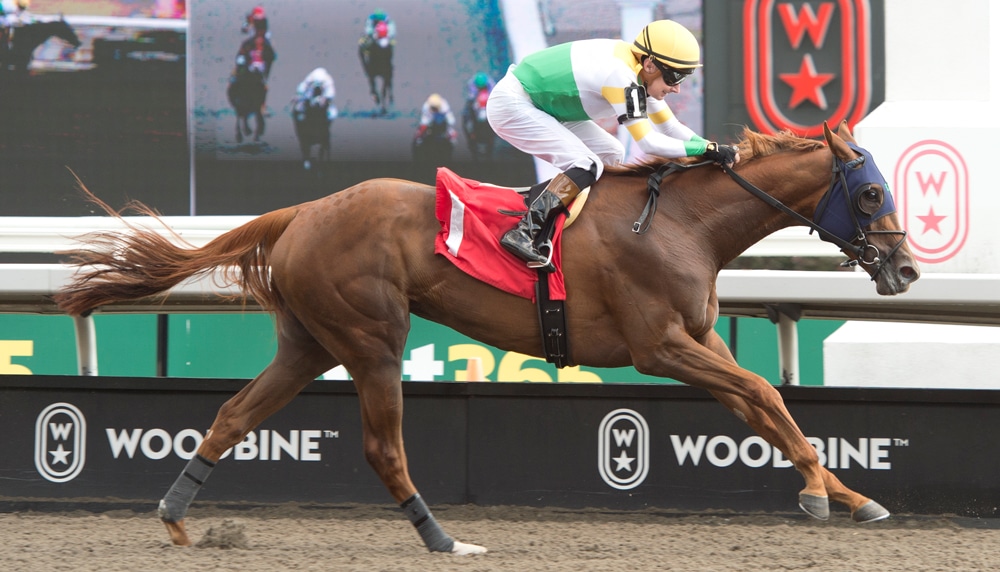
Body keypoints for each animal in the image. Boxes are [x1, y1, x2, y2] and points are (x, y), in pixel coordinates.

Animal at [55, 122, 919, 556]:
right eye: (870, 192)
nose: (906, 267)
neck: (682, 221)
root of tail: (301, 211)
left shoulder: (702, 338)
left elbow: (766, 406)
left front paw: (851, 495)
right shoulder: (659, 346)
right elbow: (766, 393)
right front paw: (822, 494)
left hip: (310, 342)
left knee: (235, 414)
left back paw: (177, 518)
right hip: (372, 338)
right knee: (383, 446)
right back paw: (443, 539)